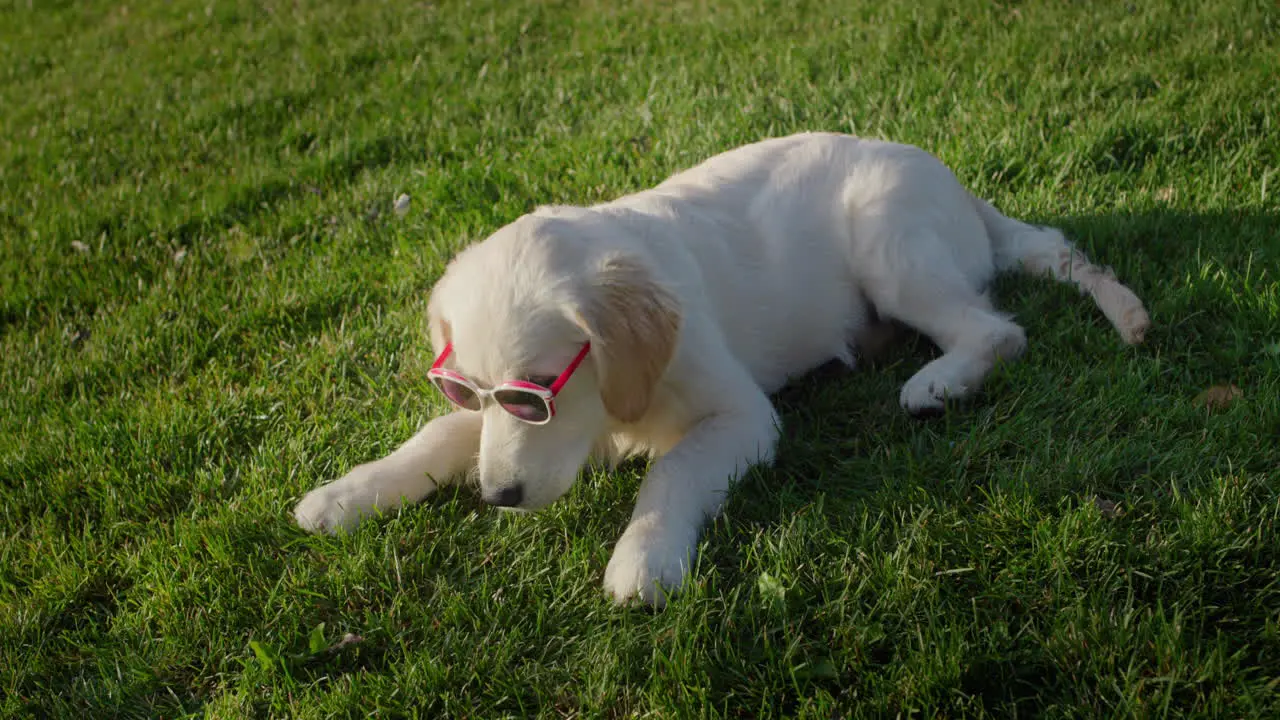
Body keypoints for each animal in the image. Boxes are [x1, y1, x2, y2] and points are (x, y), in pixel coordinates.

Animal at [296, 130, 1152, 604]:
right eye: (467, 388)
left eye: (536, 394)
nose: (498, 498)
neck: (613, 404)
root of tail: (957, 185)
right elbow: (437, 439)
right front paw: (344, 495)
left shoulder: (740, 413)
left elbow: (672, 469)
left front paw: (642, 559)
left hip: (890, 246)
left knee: (998, 330)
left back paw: (935, 382)